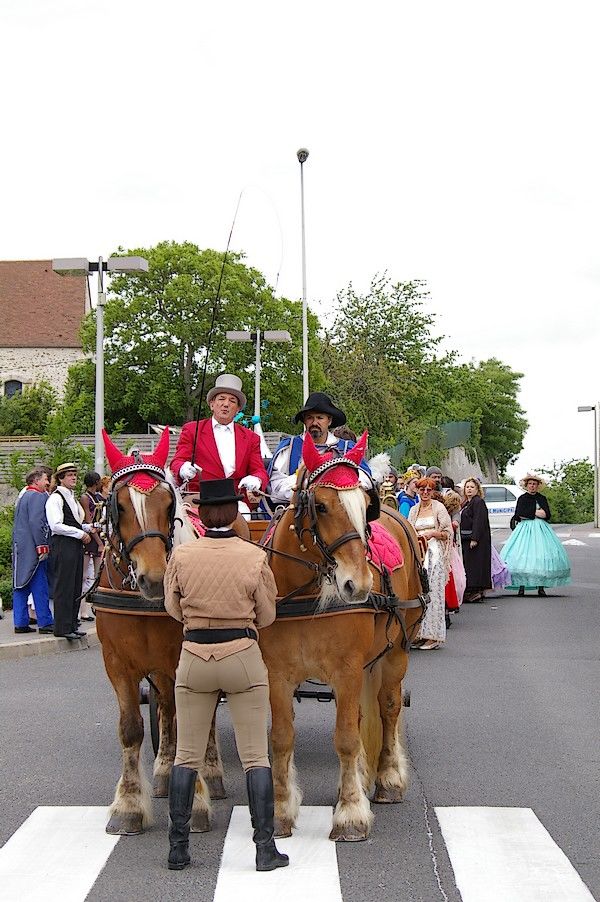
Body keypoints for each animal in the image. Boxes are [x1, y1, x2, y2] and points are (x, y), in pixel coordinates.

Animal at [94, 430, 248, 832]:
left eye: (167, 505)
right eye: (119, 506)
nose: (154, 579)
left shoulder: (185, 658)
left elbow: (191, 723)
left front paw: (194, 804)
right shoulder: (117, 664)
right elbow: (132, 728)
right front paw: (129, 805)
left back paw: (211, 772)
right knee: (165, 707)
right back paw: (164, 771)